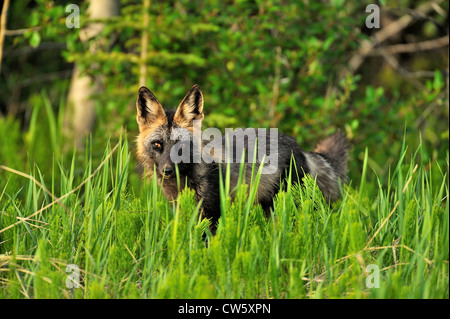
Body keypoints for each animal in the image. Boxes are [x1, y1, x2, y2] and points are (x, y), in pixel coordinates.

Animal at [135, 84, 350, 235]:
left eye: (181, 146)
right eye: (157, 145)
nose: (167, 171)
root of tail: (298, 147)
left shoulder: (213, 215)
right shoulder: (183, 213)